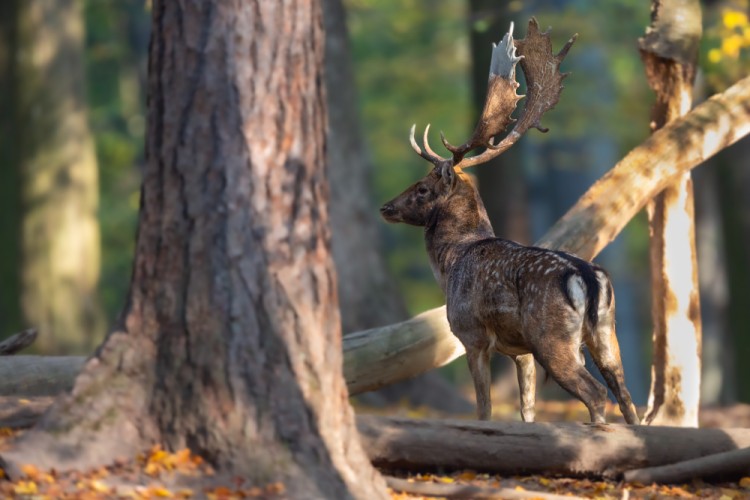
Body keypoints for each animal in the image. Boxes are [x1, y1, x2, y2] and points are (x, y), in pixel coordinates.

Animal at [382, 20, 640, 426]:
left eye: (422, 188)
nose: (386, 207)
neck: (452, 261)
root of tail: (586, 275)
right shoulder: (520, 352)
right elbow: (527, 411)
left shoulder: (471, 335)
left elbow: (484, 409)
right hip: (604, 333)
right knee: (627, 398)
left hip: (552, 337)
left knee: (596, 394)